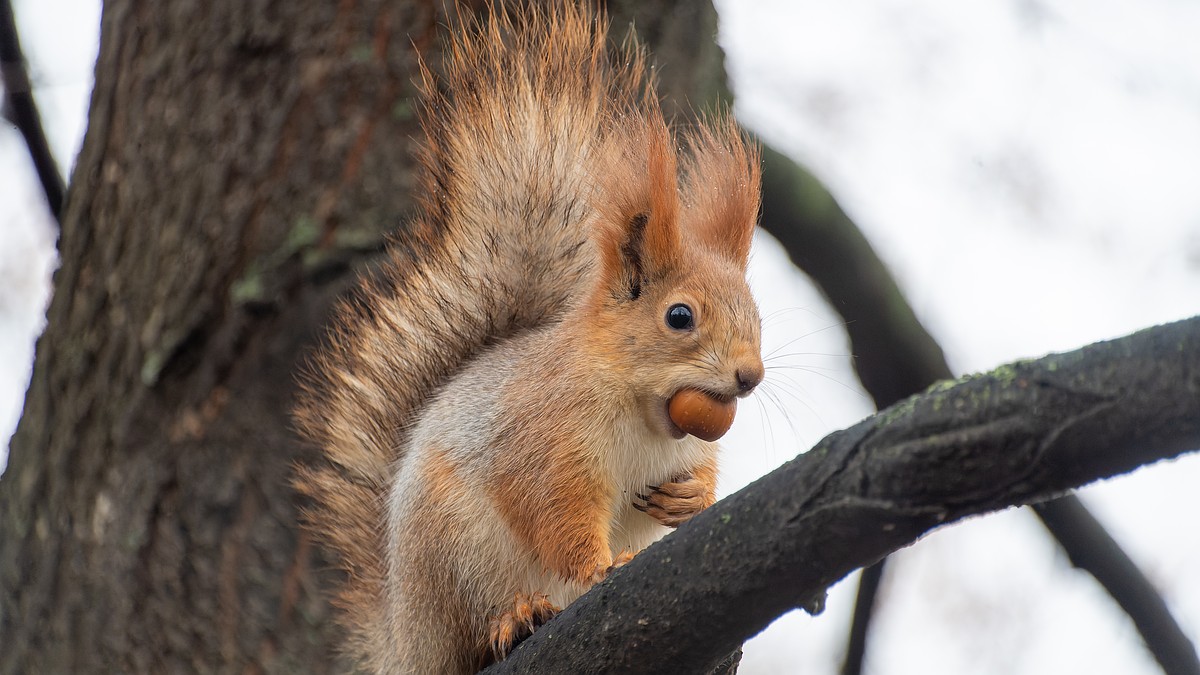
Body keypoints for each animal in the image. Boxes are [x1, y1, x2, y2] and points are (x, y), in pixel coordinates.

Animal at [295, 2, 763, 667]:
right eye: (679, 316)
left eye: (756, 313)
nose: (750, 376)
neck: (646, 412)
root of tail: (407, 638)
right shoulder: (544, 440)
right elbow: (555, 513)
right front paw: (596, 567)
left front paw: (692, 499)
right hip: (455, 556)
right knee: (474, 630)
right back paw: (516, 618)